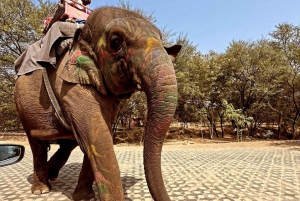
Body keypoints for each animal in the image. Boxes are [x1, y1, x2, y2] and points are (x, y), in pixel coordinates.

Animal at [14, 6, 180, 201]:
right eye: (116, 42)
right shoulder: (70, 86)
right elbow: (99, 137)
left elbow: (97, 136)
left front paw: (84, 197)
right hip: (23, 107)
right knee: (37, 144)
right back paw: (41, 190)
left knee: (68, 143)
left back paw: (52, 175)